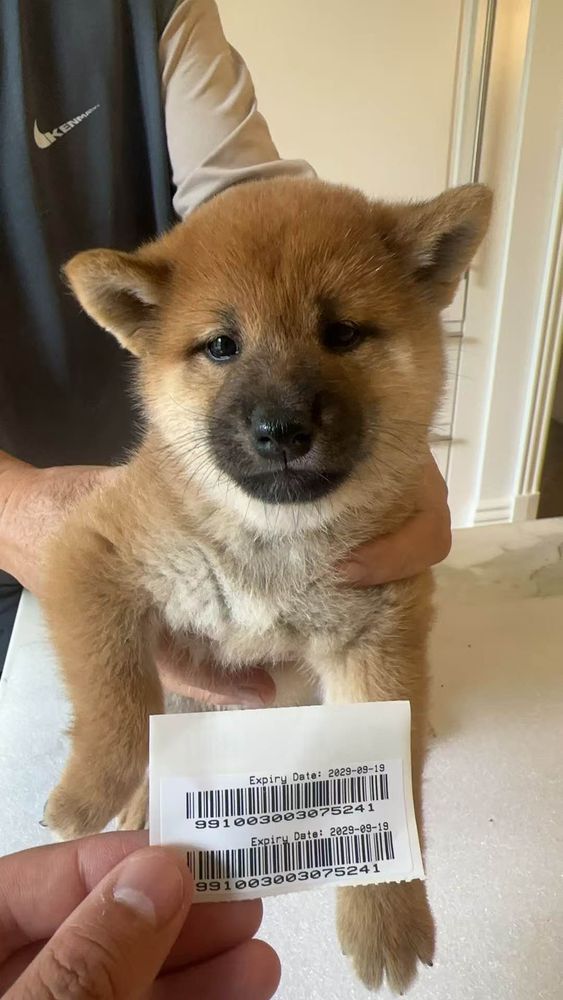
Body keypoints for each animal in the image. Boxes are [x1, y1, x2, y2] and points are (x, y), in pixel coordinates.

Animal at [42, 175, 491, 992]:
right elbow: (116, 697)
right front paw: (87, 791)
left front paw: (386, 915)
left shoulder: (380, 641)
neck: (273, 546)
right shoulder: (92, 555)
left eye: (341, 333)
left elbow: (386, 787)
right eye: (222, 345)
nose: (281, 429)